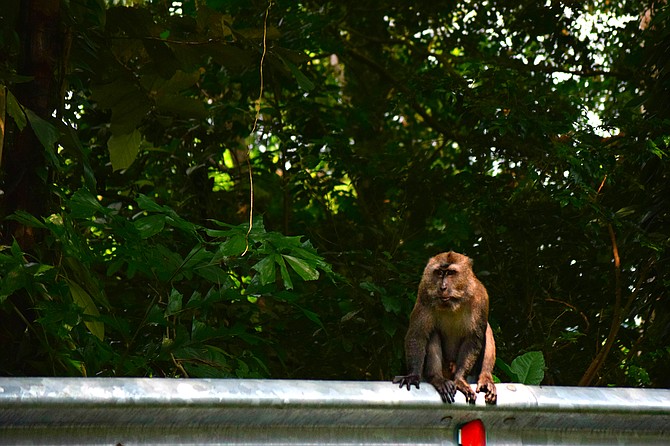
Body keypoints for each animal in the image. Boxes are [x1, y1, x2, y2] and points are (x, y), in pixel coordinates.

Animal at [394, 251, 498, 404]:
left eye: (450, 273)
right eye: (439, 273)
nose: (442, 287)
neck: (454, 302)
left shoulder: (481, 298)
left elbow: (473, 339)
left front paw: (460, 380)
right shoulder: (424, 295)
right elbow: (418, 335)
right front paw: (413, 375)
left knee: (486, 330)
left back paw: (485, 379)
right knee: (433, 333)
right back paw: (438, 379)